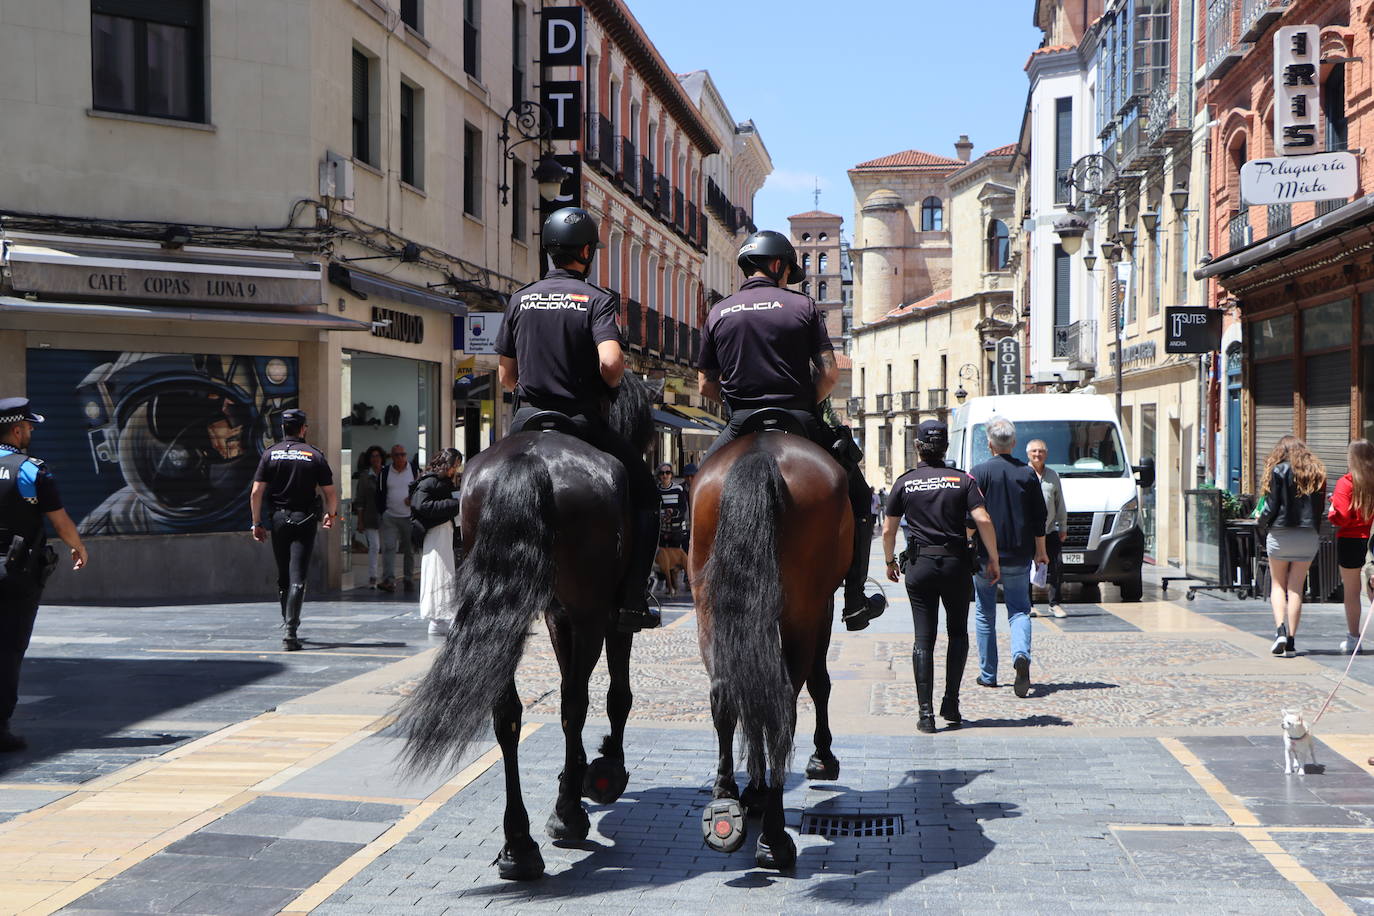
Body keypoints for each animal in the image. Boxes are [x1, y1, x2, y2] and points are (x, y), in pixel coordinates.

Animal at [395, 373, 656, 878]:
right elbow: (617, 695)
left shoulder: (556, 616)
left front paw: (576, 773)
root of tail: (530, 459)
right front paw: (603, 771)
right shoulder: (610, 619)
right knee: (574, 703)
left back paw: (519, 845)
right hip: (591, 612)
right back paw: (567, 816)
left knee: (508, 713)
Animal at [692, 433, 851, 873]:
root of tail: (760, 453)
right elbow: (819, 682)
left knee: (725, 692)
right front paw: (822, 758)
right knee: (784, 703)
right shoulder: (822, 607)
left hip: (709, 602)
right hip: (802, 611)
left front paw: (754, 790)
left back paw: (726, 795)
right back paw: (775, 840)